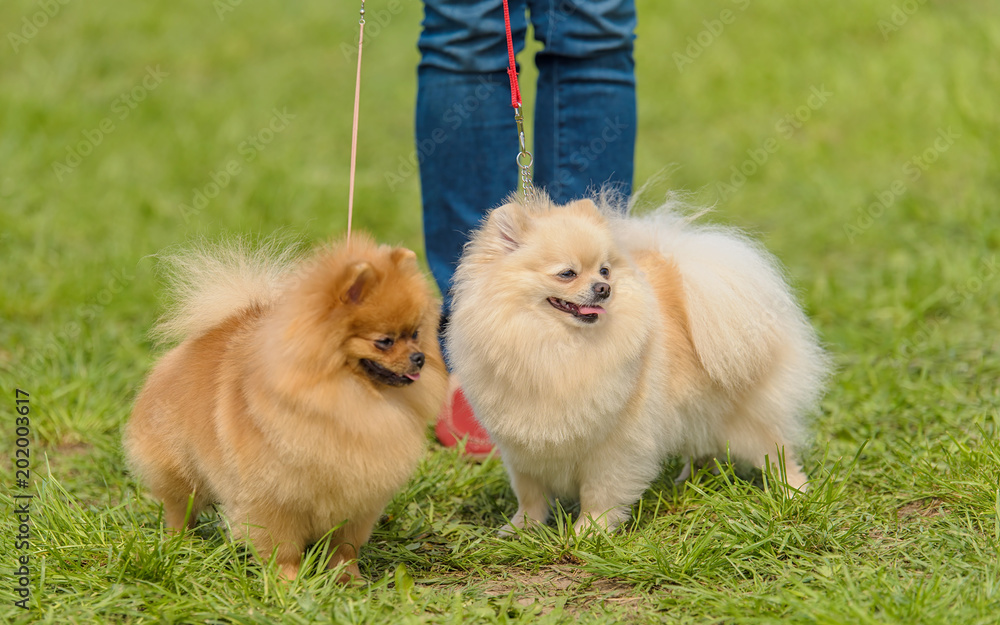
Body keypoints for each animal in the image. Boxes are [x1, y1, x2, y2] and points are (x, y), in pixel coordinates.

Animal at [124, 234, 446, 580]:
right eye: (384, 341)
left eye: (416, 334)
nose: (419, 358)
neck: (347, 398)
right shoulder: (274, 499)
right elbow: (283, 548)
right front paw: (288, 581)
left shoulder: (356, 501)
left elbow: (344, 548)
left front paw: (349, 579)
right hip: (179, 471)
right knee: (178, 508)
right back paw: (179, 543)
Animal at [450, 193, 832, 532]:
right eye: (567, 273)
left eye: (604, 270)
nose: (603, 288)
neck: (554, 345)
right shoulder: (521, 450)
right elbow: (529, 494)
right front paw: (521, 528)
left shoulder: (613, 446)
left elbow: (599, 494)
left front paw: (587, 533)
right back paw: (691, 481)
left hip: (746, 418)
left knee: (778, 453)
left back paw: (794, 493)